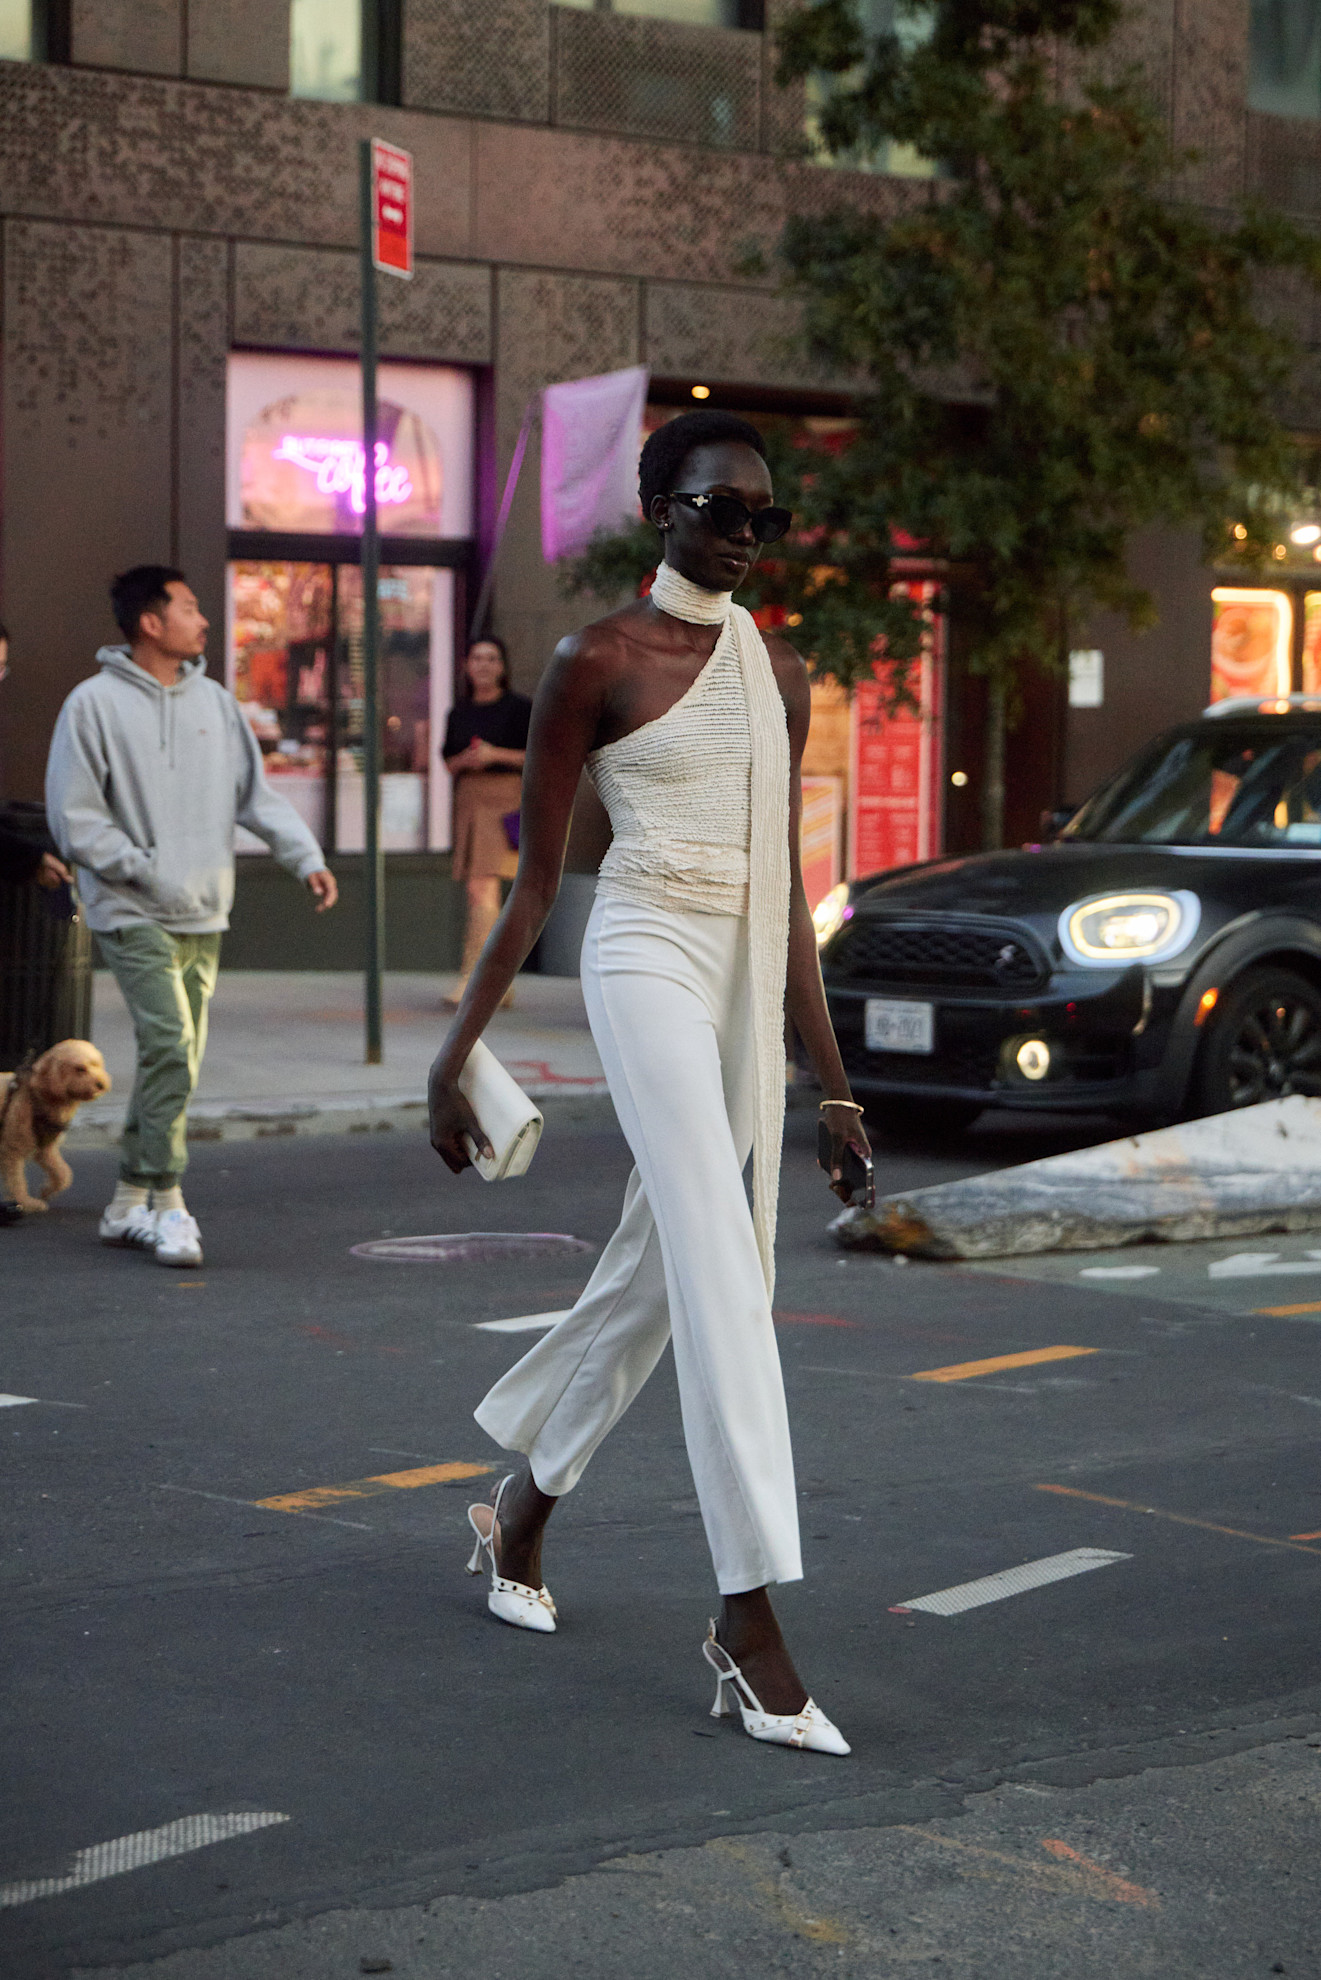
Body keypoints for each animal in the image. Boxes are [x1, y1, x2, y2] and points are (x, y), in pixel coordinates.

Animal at [0, 1045, 110, 1211]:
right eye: (80, 1069)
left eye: (96, 1064)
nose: (101, 1084)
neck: (38, 1096)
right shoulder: (12, 1149)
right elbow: (16, 1181)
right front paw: (25, 1202)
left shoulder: (46, 1148)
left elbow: (63, 1173)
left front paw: (47, 1190)